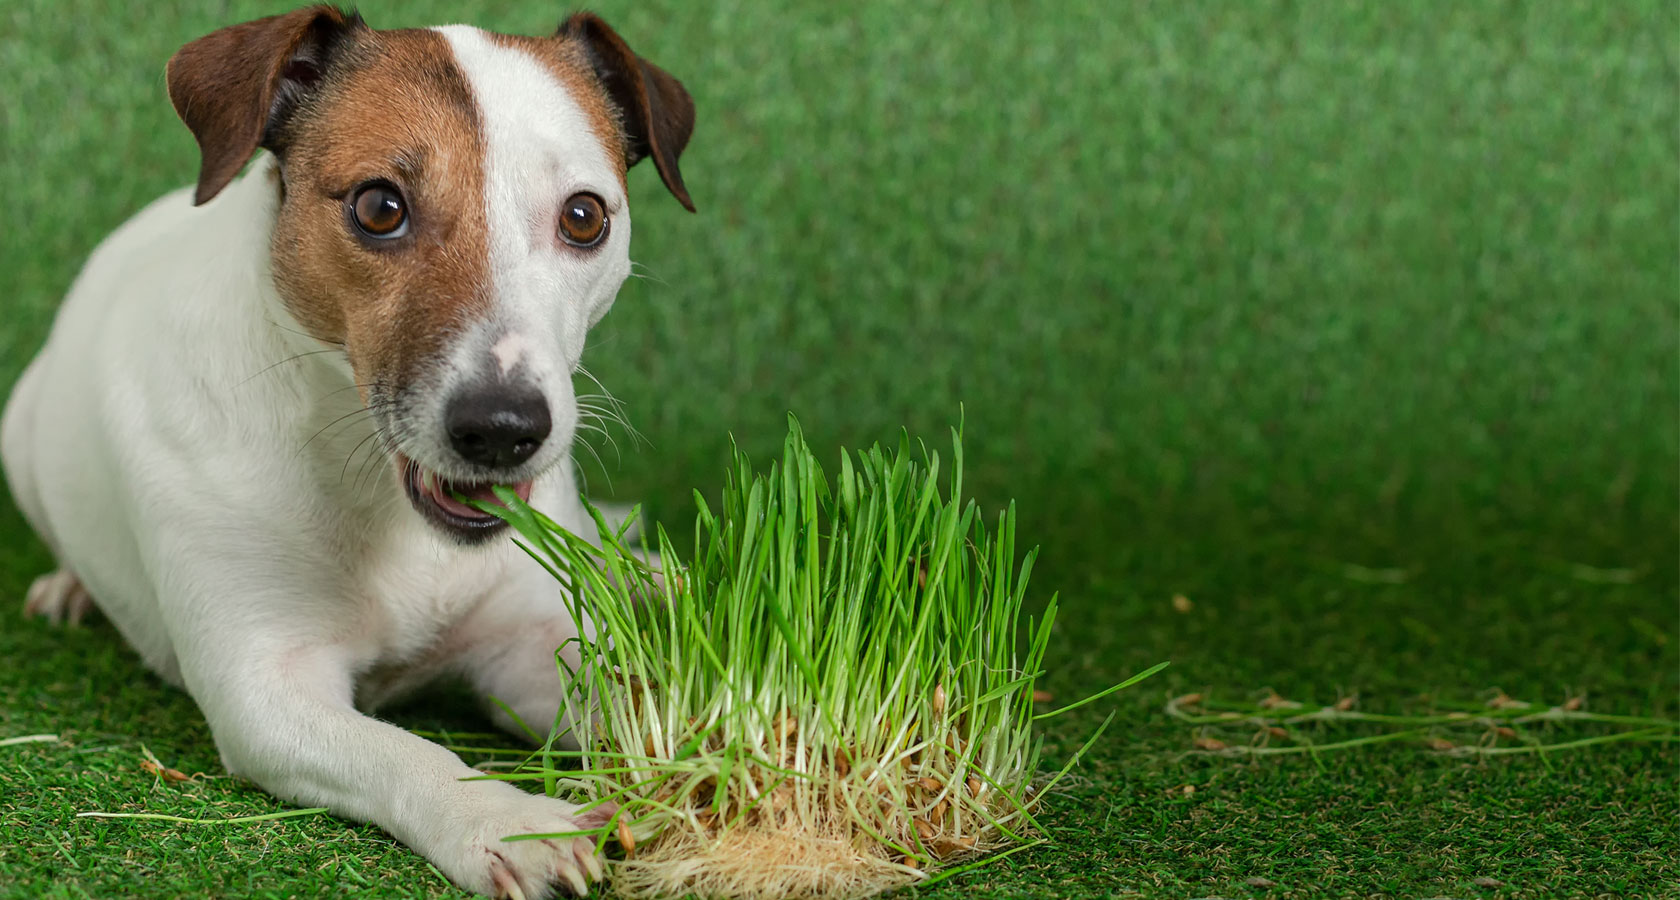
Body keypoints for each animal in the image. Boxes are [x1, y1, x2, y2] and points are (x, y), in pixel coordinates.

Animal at [1, 8, 695, 900]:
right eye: (378, 206)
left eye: (584, 217)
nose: (504, 429)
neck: (383, 508)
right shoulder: (268, 693)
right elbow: (406, 751)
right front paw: (509, 822)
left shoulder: (526, 645)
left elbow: (632, 703)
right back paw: (69, 587)